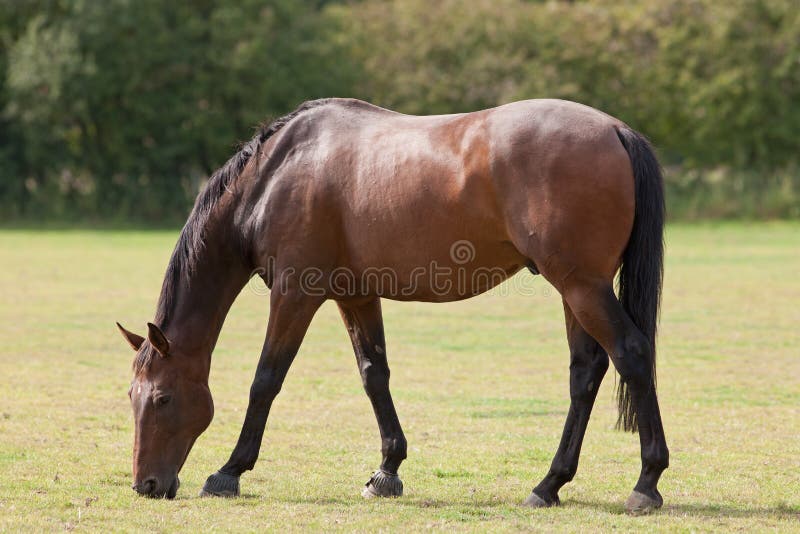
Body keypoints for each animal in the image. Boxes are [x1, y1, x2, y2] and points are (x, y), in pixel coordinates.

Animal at [117, 96, 668, 516]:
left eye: (162, 398)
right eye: (131, 396)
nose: (146, 486)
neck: (275, 175)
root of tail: (616, 130)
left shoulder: (295, 294)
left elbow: (266, 380)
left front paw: (229, 471)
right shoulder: (355, 294)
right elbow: (373, 375)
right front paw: (387, 471)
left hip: (581, 286)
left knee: (632, 354)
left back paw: (645, 483)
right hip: (575, 291)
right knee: (586, 372)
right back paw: (550, 484)